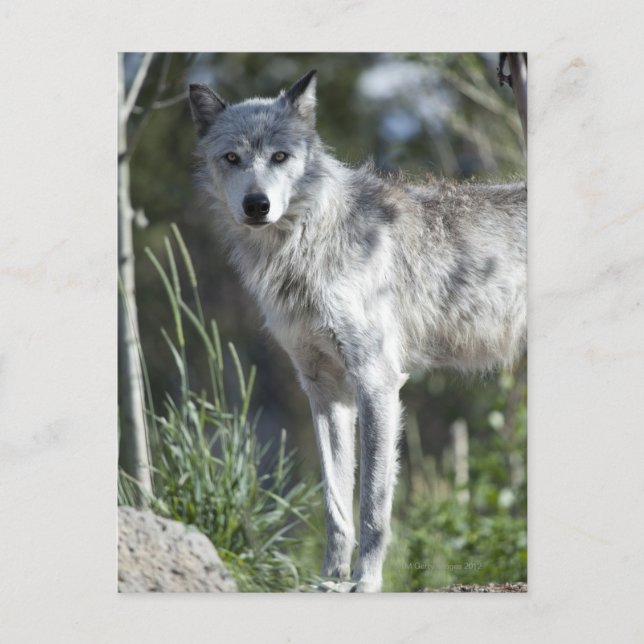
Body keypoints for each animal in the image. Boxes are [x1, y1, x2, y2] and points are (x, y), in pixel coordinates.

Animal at [189, 70, 527, 592]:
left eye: (280, 157)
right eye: (232, 159)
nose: (256, 205)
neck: (306, 247)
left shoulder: (377, 382)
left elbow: (372, 505)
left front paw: (366, 581)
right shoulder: (324, 390)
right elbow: (335, 503)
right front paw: (330, 579)